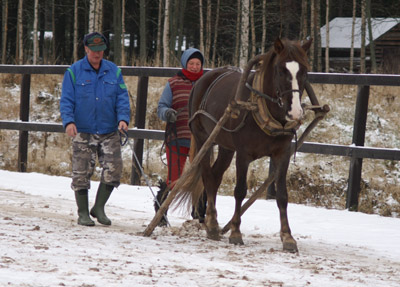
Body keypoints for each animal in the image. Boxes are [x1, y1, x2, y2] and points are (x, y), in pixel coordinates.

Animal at [175, 38, 312, 254]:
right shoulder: (243, 154)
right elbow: (240, 190)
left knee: (215, 177)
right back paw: (212, 225)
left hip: (225, 147)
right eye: (281, 70)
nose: (295, 112)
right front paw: (235, 233)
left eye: (304, 70)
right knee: (207, 176)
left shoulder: (282, 154)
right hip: (204, 138)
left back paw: (214, 223)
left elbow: (282, 195)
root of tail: (203, 79)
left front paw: (288, 237)